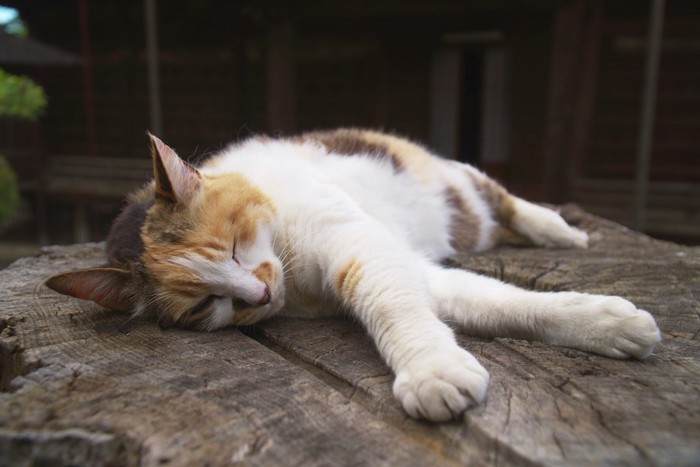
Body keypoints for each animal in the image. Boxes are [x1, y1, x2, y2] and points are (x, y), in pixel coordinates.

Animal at [46, 129, 660, 424]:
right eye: (203, 305)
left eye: (236, 248)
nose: (257, 294)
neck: (294, 275)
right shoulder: (412, 266)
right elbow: (492, 301)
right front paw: (606, 325)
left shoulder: (364, 246)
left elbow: (391, 304)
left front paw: (431, 372)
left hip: (464, 187)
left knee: (506, 201)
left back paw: (559, 232)